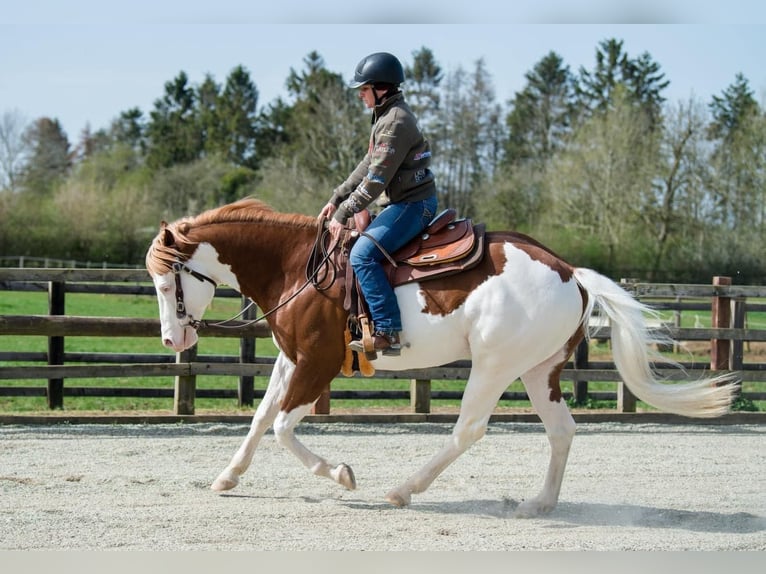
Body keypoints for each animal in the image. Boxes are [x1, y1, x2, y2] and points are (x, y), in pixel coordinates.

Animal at [147, 197, 740, 516]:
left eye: (168, 280)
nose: (172, 342)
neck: (298, 266)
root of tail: (571, 272)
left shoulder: (316, 364)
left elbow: (283, 429)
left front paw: (340, 474)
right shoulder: (291, 360)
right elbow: (261, 418)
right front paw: (227, 477)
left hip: (495, 367)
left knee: (468, 429)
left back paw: (403, 490)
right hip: (539, 370)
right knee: (561, 431)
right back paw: (539, 503)